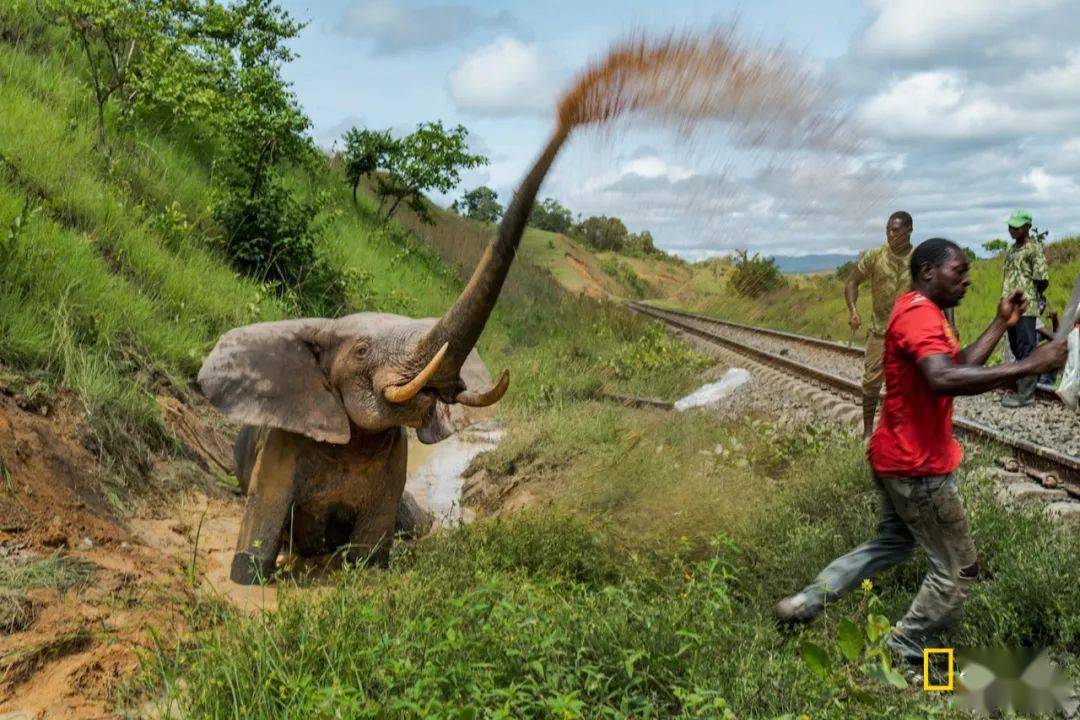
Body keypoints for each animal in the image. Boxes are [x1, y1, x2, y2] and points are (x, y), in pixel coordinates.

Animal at [201, 124, 574, 587]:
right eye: (361, 350)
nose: (569, 119)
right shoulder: (283, 444)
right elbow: (257, 538)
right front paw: (250, 578)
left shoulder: (395, 459)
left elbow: (370, 551)